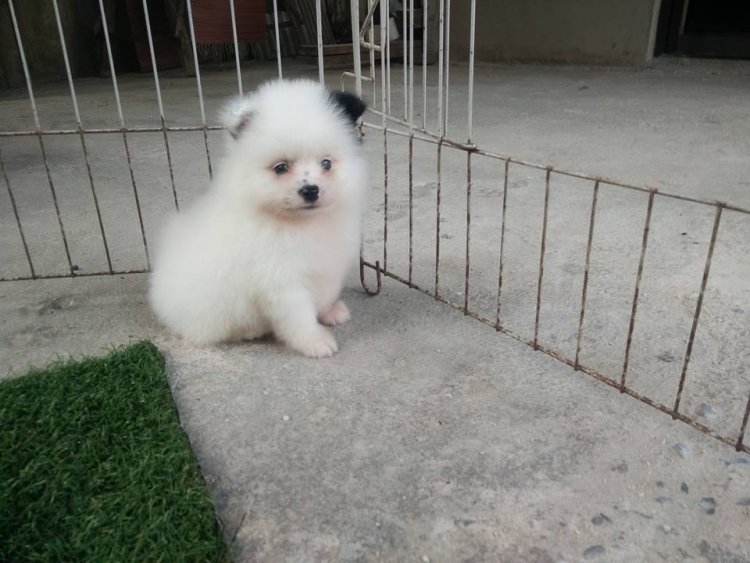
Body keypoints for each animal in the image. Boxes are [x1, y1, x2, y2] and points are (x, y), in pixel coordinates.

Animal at [149, 79, 367, 358]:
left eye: (326, 163)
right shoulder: (281, 280)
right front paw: (315, 342)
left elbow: (327, 291)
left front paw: (331, 311)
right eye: (280, 168)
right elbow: (299, 316)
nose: (310, 190)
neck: (301, 223)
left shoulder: (329, 264)